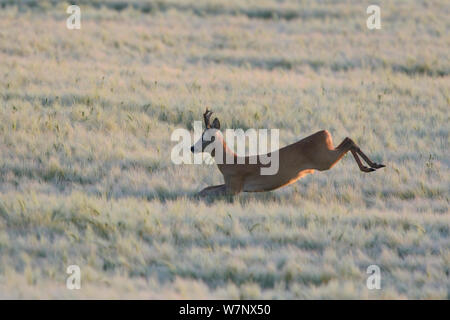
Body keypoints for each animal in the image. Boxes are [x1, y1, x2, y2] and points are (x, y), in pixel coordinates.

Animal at [192, 109, 384, 196]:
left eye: (207, 137)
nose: (192, 148)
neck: (229, 164)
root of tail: (324, 134)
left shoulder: (235, 187)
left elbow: (206, 191)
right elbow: (205, 188)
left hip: (324, 160)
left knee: (349, 142)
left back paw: (371, 166)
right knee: (348, 140)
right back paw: (374, 165)